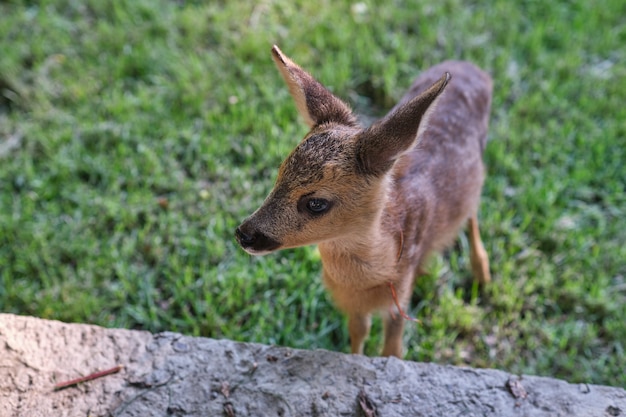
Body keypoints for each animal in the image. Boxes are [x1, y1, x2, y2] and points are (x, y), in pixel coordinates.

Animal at [232, 45, 490, 358]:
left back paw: (482, 274)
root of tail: (472, 68)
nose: (244, 233)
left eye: (316, 203)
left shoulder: (400, 294)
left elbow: (392, 351)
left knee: (474, 208)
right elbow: (357, 335)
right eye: (279, 174)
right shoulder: (354, 307)